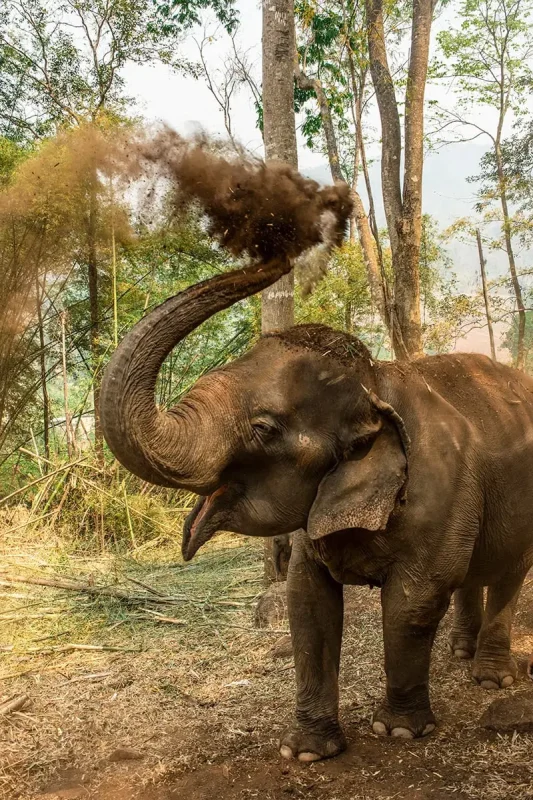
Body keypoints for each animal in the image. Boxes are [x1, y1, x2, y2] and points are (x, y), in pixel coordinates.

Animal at [101, 257, 533, 762]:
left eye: (264, 428)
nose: (278, 258)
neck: (377, 384)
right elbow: (307, 602)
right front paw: (305, 751)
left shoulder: (441, 491)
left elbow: (413, 600)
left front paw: (399, 730)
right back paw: (459, 651)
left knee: (509, 574)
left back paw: (490, 678)